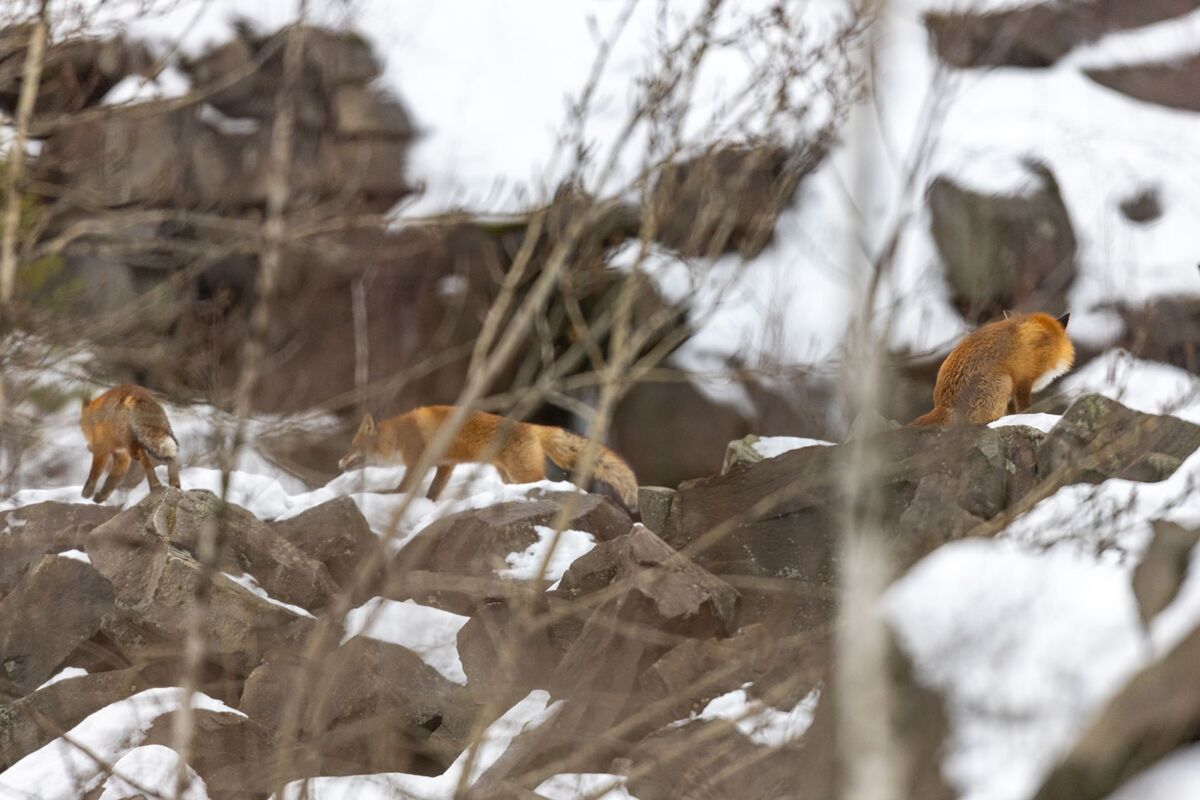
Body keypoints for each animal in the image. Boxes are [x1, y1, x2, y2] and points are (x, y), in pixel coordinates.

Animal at [336, 407, 638, 513]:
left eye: (352, 446)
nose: (339, 462)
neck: (399, 435)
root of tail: (532, 426)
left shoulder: (418, 460)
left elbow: (404, 487)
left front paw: (389, 495)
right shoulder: (446, 464)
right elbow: (434, 490)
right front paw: (430, 503)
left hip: (523, 473)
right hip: (507, 474)